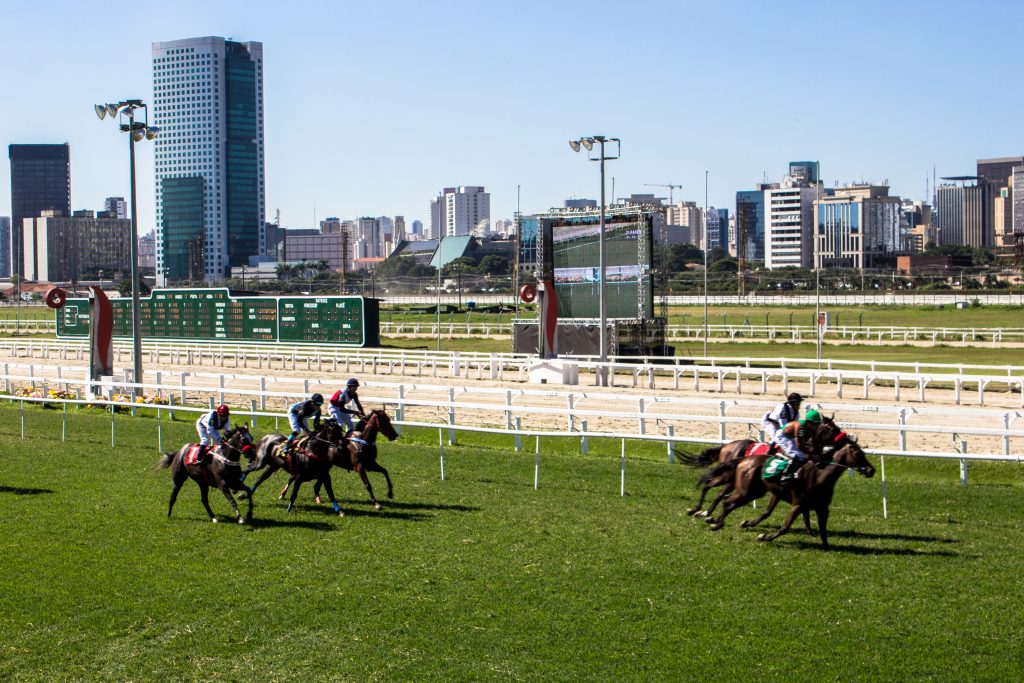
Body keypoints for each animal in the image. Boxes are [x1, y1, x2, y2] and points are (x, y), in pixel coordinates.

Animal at [704, 436, 880, 552]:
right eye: (858, 454)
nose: (871, 470)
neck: (820, 475)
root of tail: (743, 459)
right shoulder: (798, 504)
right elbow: (785, 526)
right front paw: (764, 537)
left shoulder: (822, 508)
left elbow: (822, 529)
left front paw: (826, 546)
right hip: (746, 491)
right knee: (727, 501)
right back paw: (714, 522)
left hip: (754, 491)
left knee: (726, 500)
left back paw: (713, 519)